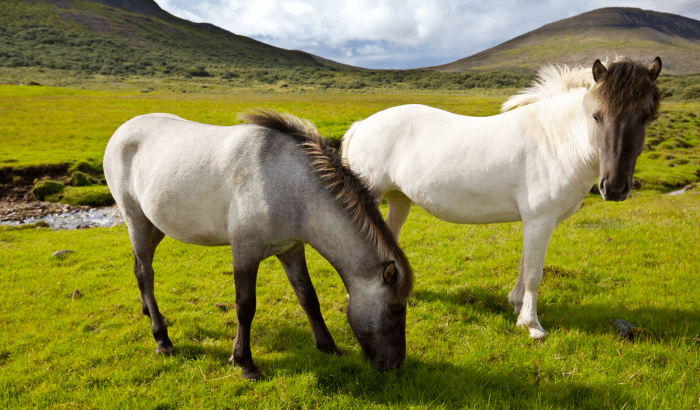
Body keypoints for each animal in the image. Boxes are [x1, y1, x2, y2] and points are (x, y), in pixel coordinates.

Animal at [103, 109, 410, 378]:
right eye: (396, 309)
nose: (394, 365)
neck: (290, 183)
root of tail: (121, 131)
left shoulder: (291, 249)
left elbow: (308, 296)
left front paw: (328, 346)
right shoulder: (245, 251)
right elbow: (245, 306)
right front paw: (245, 363)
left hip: (154, 227)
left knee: (140, 268)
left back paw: (152, 315)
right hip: (136, 220)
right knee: (145, 273)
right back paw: (162, 340)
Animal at [344, 56, 660, 340]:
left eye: (646, 116)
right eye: (596, 115)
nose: (615, 187)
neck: (555, 140)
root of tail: (363, 124)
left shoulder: (535, 223)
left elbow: (525, 264)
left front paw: (517, 305)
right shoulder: (539, 221)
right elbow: (534, 272)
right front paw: (532, 325)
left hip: (399, 199)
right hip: (372, 196)